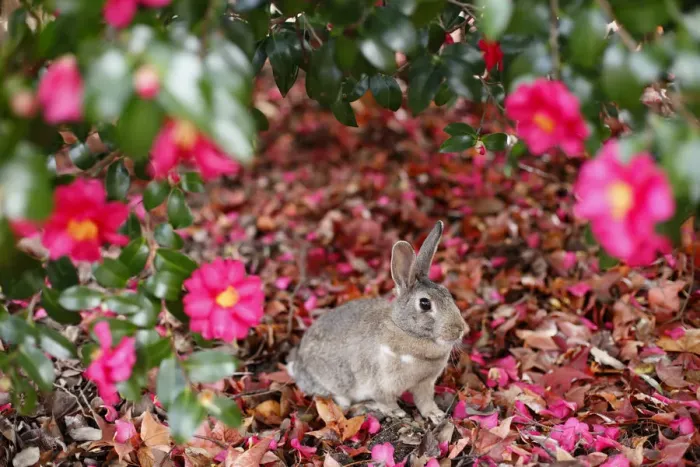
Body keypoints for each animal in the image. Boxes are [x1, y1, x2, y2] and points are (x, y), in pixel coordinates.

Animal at [286, 221, 468, 424]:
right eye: (425, 303)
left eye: (447, 292)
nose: (460, 329)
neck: (406, 330)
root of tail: (298, 365)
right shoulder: (380, 383)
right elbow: (385, 400)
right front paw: (396, 412)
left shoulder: (425, 383)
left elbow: (424, 401)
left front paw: (436, 415)